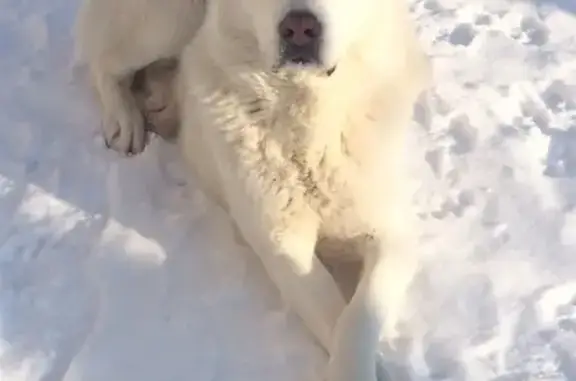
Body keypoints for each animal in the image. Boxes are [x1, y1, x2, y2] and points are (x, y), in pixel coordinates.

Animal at [74, 0, 430, 378]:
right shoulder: (281, 245)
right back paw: (124, 119)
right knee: (104, 61)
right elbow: (334, 316)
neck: (306, 116)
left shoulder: (392, 234)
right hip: (171, 21)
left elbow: (358, 318)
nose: (300, 29)